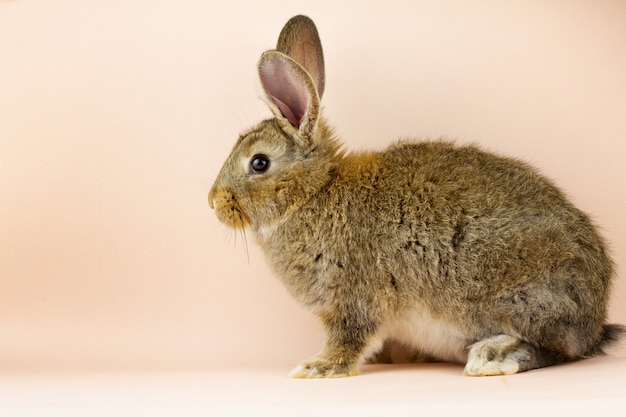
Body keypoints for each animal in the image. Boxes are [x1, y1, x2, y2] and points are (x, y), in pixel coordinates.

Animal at [208, 14, 620, 376]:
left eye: (259, 163)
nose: (213, 202)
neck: (315, 192)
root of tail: (595, 320)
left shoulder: (353, 299)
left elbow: (349, 338)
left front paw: (317, 367)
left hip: (520, 299)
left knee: (558, 350)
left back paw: (493, 356)